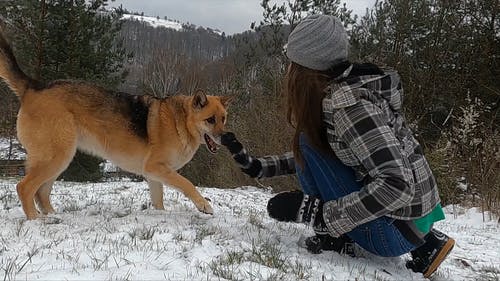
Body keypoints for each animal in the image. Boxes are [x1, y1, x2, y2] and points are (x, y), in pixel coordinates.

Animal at [0, 29, 230, 220]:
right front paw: (204, 205)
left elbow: (159, 201)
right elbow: (187, 184)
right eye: (210, 120)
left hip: (60, 158)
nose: (226, 137)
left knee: (41, 192)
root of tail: (33, 88)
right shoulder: (158, 168)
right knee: (24, 187)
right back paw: (35, 219)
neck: (180, 121)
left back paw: (53, 216)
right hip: (55, 156)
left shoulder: (154, 175)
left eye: (224, 118)